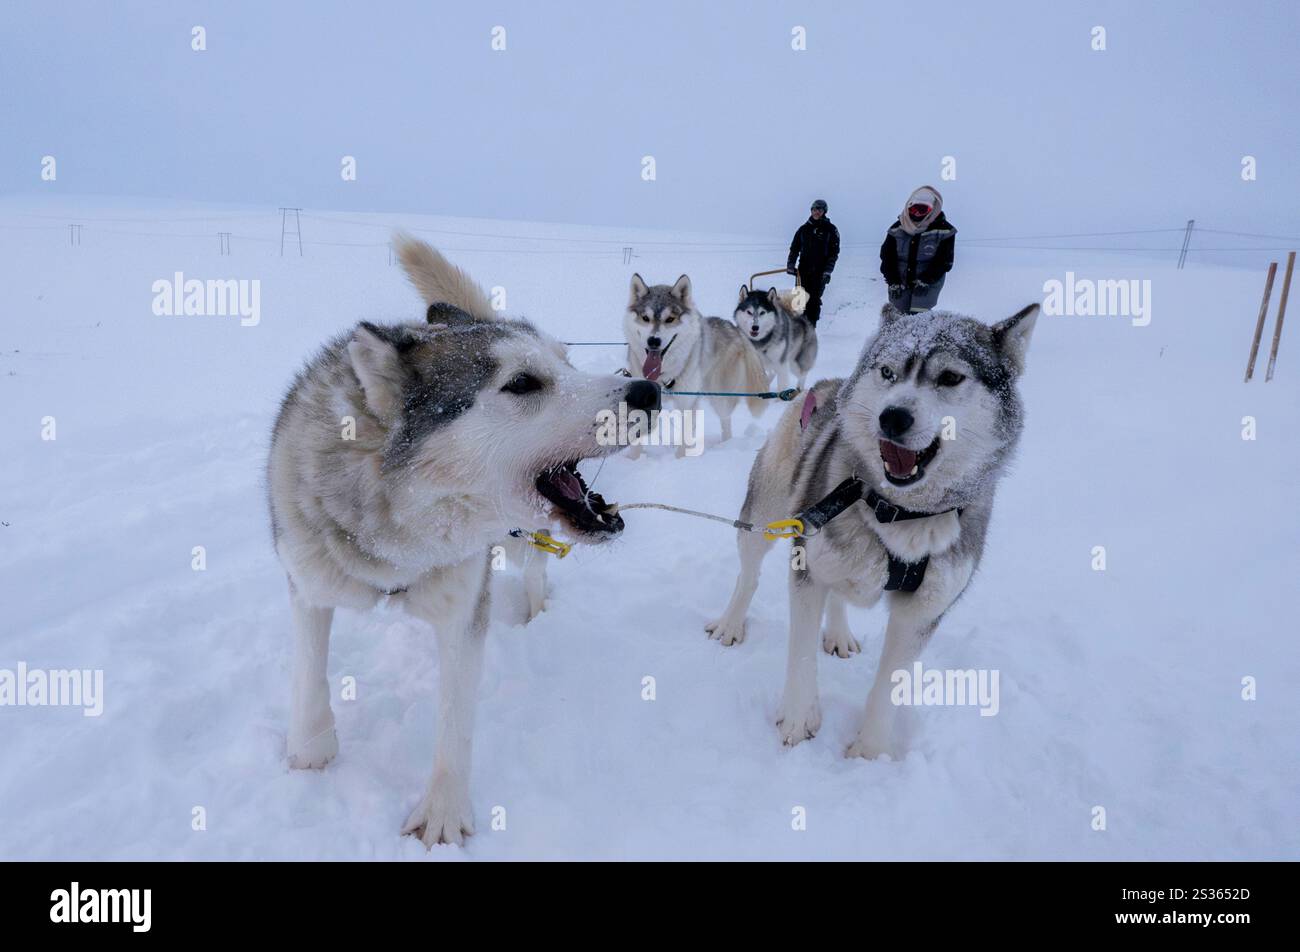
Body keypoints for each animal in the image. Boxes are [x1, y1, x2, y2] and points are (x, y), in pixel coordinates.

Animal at [273, 234, 660, 842]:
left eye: (567, 363)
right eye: (522, 382)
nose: (650, 390)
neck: (398, 542)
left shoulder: (463, 608)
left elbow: (455, 721)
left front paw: (443, 814)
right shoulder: (307, 578)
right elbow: (309, 673)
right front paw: (309, 753)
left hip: (526, 536)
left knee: (536, 565)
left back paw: (536, 608)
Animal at [621, 273, 764, 455]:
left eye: (670, 319)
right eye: (645, 318)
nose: (653, 341)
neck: (662, 374)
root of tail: (735, 329)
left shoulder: (687, 403)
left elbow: (685, 438)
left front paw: (680, 458)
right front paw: (633, 459)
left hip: (720, 397)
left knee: (726, 422)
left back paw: (724, 446)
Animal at [707, 303, 1040, 759]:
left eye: (950, 377)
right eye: (886, 371)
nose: (892, 417)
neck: (900, 513)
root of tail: (824, 385)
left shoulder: (922, 612)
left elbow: (891, 684)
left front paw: (871, 751)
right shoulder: (808, 571)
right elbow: (801, 656)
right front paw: (797, 719)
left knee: (838, 595)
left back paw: (839, 633)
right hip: (765, 517)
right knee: (749, 574)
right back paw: (731, 623)